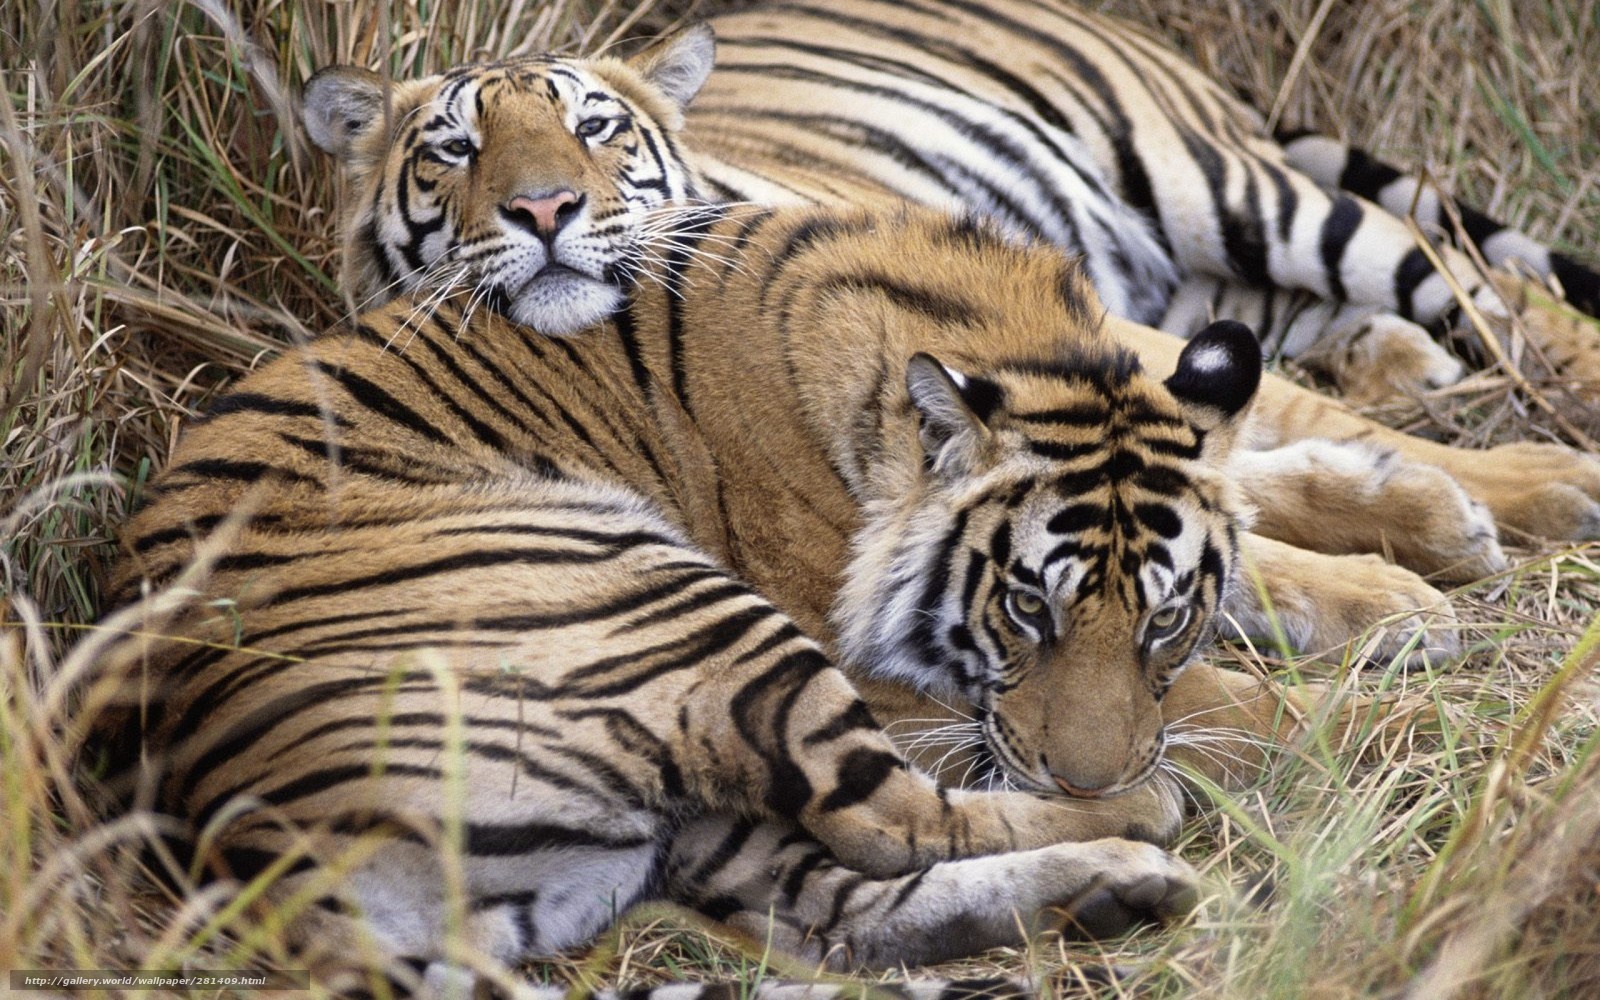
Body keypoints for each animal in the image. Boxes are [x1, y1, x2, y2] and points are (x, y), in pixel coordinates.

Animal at [95, 201, 1344, 995]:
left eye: (1164, 617)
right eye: (1029, 608)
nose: (1087, 773)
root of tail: (264, 838)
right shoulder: (896, 679)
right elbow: (1234, 708)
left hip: (684, 807)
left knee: (844, 911)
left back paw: (1119, 887)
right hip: (666, 600)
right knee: (893, 821)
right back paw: (1142, 827)